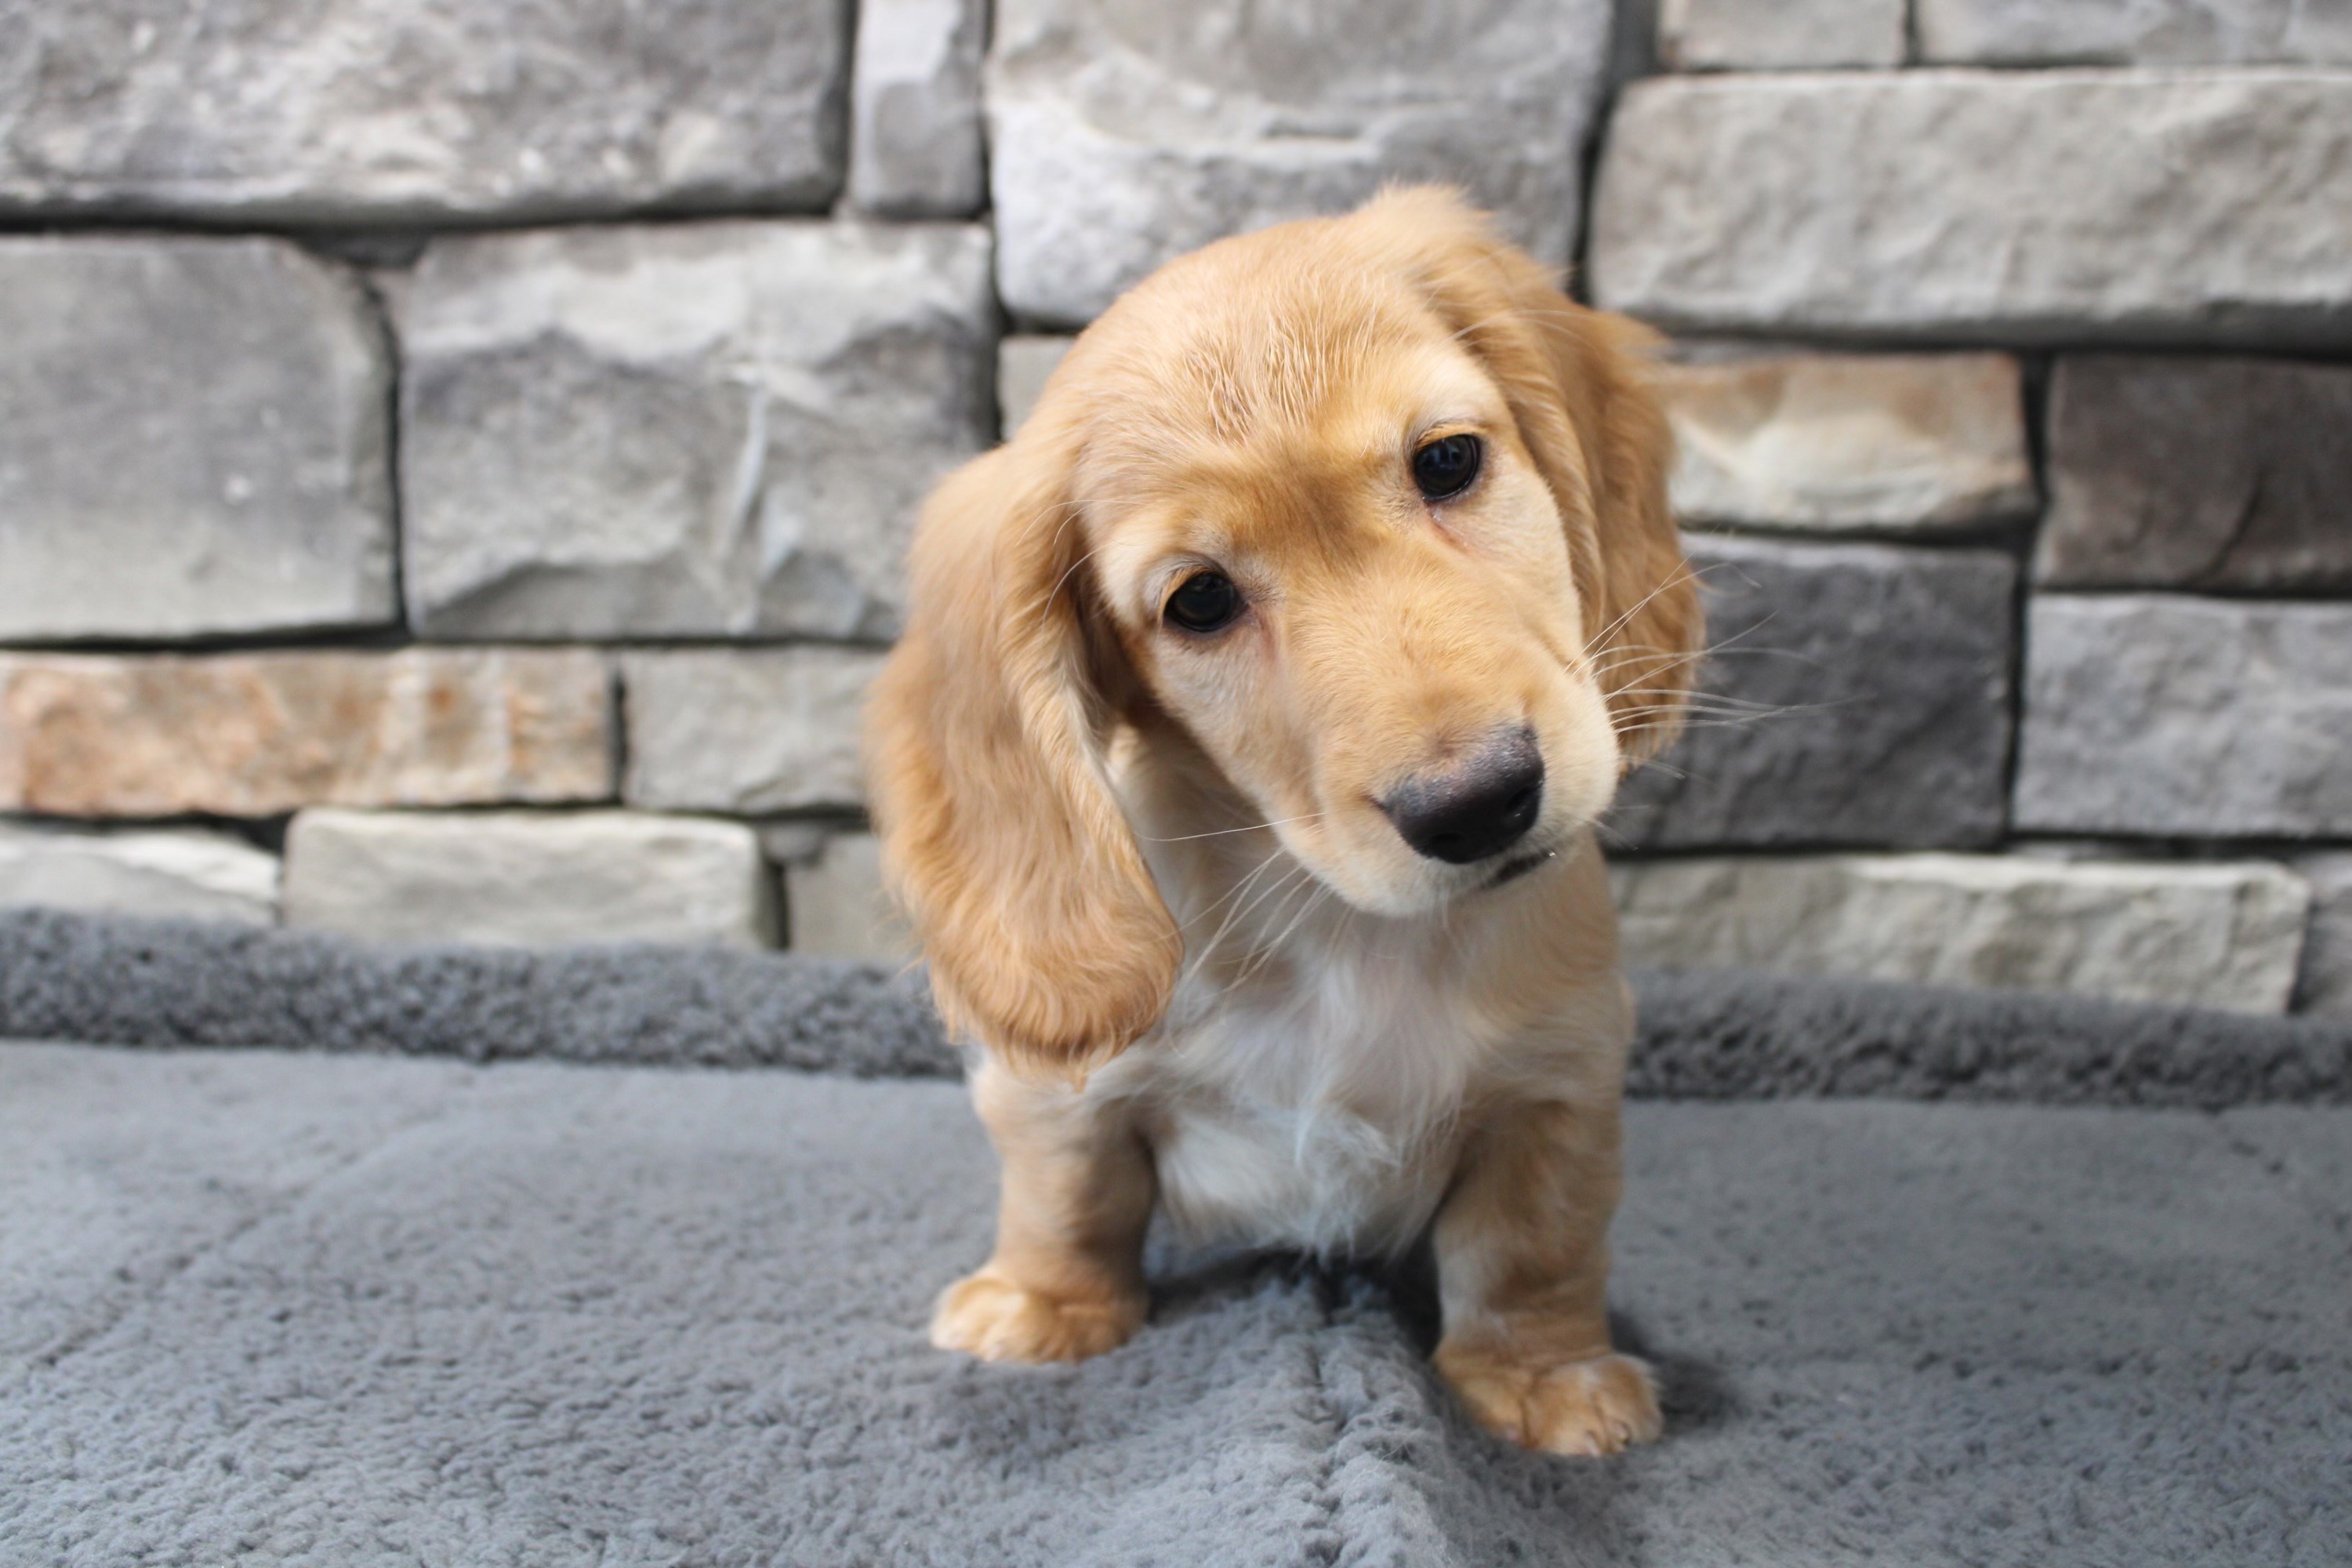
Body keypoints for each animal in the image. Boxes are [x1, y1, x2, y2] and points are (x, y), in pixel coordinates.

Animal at [866, 187, 1693, 1457]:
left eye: (1448, 461)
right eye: (1199, 600)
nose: (1480, 802)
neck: (1339, 926)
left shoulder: (1562, 1079)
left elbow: (1531, 1245)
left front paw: (1545, 1376)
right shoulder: (1056, 1097)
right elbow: (1066, 1188)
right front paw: (1044, 1306)